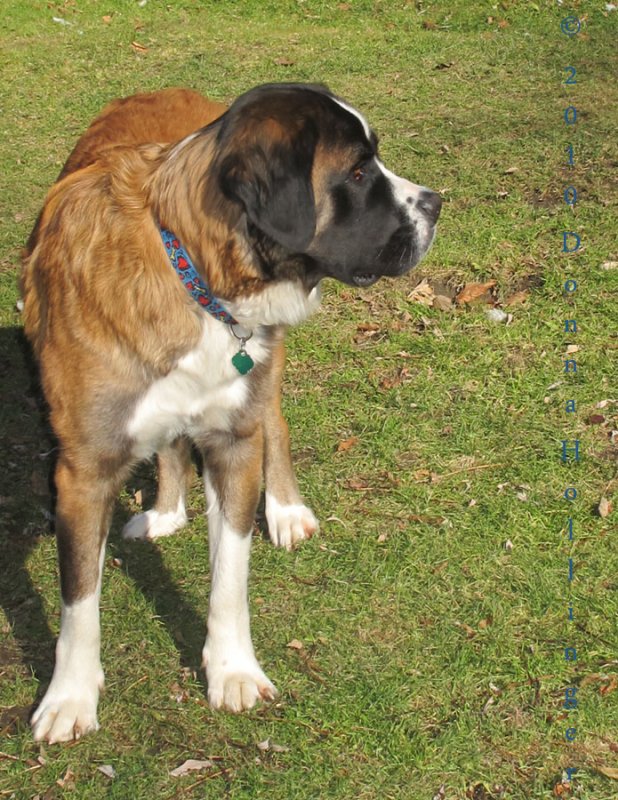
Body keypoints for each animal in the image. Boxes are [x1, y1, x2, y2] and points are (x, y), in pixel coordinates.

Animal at [21, 83, 440, 744]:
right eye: (356, 172)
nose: (437, 204)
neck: (191, 272)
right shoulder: (82, 473)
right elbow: (79, 600)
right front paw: (69, 698)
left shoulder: (234, 443)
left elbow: (229, 580)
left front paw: (233, 671)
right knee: (171, 443)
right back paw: (166, 511)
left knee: (275, 423)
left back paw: (287, 510)